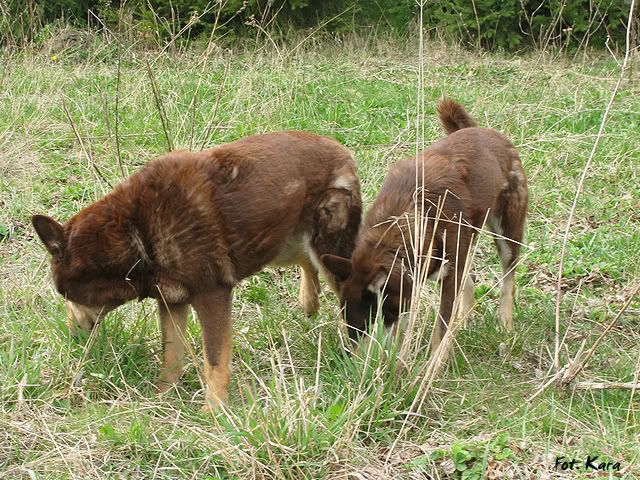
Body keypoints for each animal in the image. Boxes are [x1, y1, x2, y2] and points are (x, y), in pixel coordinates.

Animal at [32, 131, 362, 409]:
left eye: (65, 296)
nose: (71, 335)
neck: (134, 231)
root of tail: (342, 150)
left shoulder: (212, 295)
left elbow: (214, 361)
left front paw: (214, 410)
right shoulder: (172, 302)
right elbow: (171, 354)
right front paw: (162, 396)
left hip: (328, 248)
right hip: (282, 242)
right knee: (306, 261)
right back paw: (309, 301)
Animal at [321, 99, 528, 355]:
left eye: (368, 324)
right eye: (350, 326)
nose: (353, 359)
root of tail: (484, 131)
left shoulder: (447, 276)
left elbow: (441, 326)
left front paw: (434, 359)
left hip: (508, 229)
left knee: (508, 276)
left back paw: (504, 322)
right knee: (469, 277)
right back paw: (465, 318)